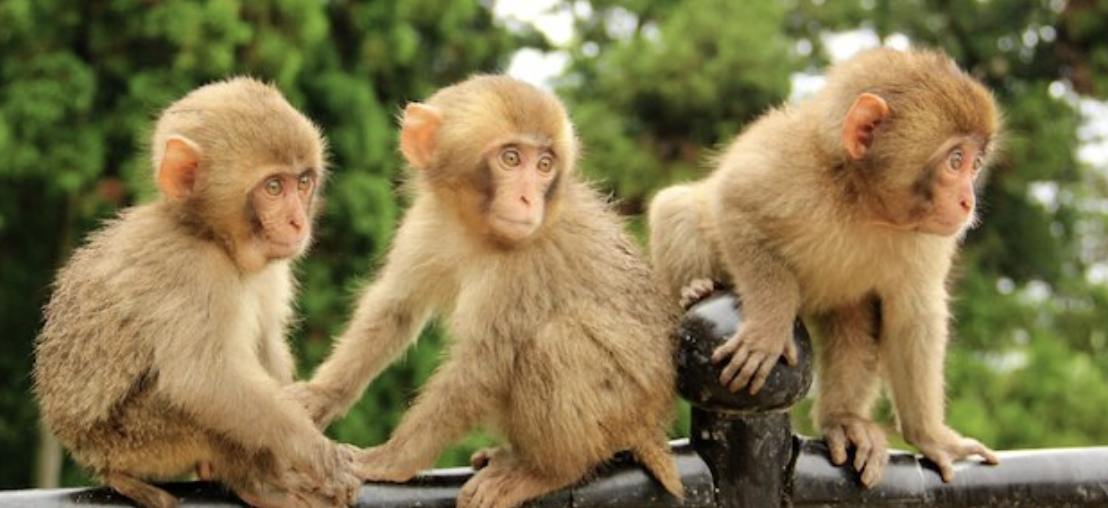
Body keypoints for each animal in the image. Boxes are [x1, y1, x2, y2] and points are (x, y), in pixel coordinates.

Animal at [33, 76, 358, 508]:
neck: (212, 238)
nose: (297, 222)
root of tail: (93, 458)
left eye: (303, 182)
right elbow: (204, 377)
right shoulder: (188, 270)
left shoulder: (272, 268)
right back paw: (255, 482)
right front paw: (315, 451)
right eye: (274, 187)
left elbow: (267, 342)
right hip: (131, 442)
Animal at [285, 75, 682, 508]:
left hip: (622, 407)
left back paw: (547, 471)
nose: (527, 198)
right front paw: (319, 396)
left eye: (544, 165)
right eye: (511, 158)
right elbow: (395, 309)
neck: (473, 230)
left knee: (558, 340)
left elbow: (483, 363)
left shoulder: (521, 267)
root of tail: (650, 422)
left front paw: (392, 459)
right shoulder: (427, 223)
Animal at [647, 48, 1006, 488]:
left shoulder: (929, 237)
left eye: (976, 164)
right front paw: (769, 327)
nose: (968, 202)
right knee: (678, 207)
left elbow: (913, 314)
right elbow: (735, 206)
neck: (863, 200)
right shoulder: (789, 170)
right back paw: (694, 290)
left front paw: (931, 436)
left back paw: (844, 420)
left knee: (857, 317)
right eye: (956, 161)